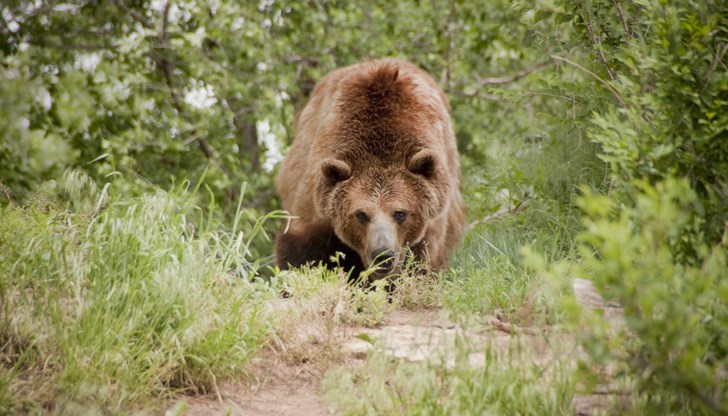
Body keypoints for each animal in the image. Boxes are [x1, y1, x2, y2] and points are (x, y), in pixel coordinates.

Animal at [272, 58, 466, 282]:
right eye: (361, 214)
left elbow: (421, 261)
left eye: (400, 213)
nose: (383, 255)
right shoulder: (315, 200)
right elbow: (303, 252)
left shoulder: (433, 220)